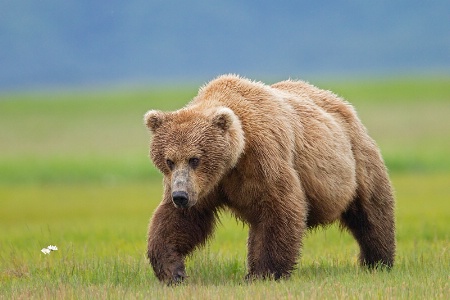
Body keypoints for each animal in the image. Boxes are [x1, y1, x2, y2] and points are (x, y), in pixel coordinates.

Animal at [144, 73, 394, 284]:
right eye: (169, 160)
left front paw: (266, 273)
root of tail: (342, 103)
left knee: (372, 211)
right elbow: (179, 221)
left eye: (195, 159)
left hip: (355, 160)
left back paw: (378, 261)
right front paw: (172, 271)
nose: (180, 196)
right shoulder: (206, 186)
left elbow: (280, 208)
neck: (233, 160)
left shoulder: (264, 158)